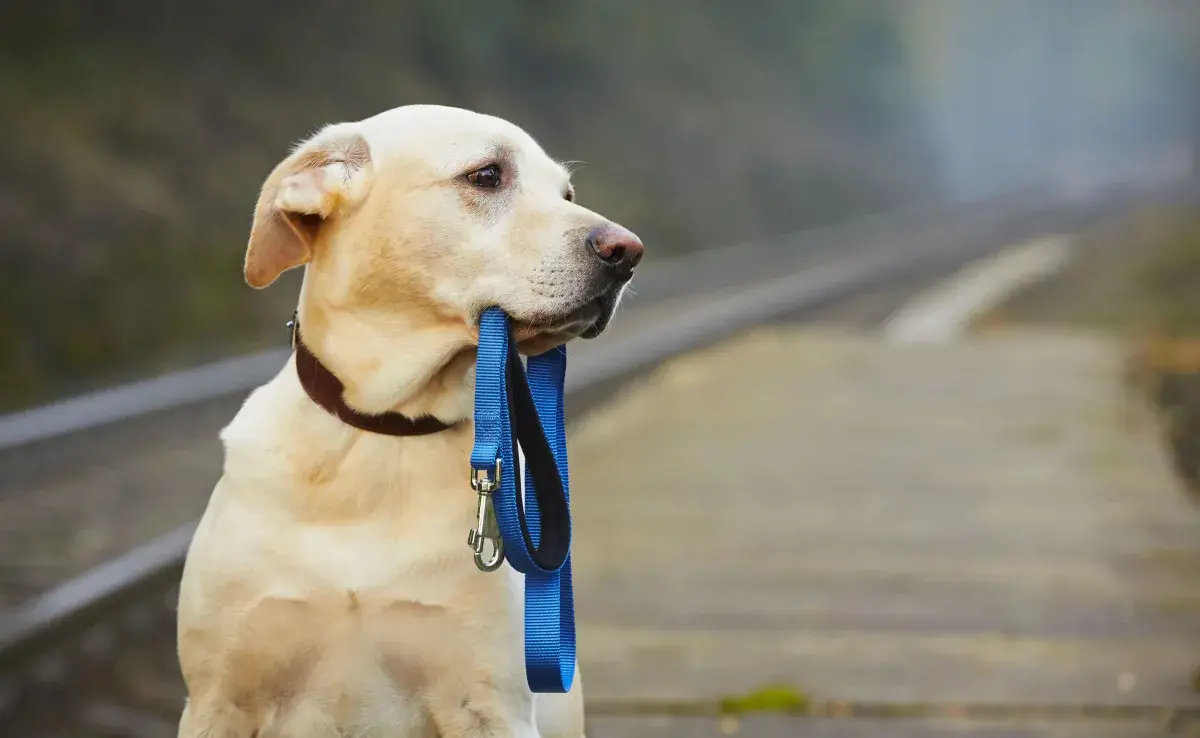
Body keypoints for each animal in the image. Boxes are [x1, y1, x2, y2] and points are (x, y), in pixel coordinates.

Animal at [175, 105, 643, 738]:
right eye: (487, 175)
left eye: (566, 193)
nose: (629, 251)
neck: (386, 429)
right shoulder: (218, 700)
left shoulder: (491, 706)